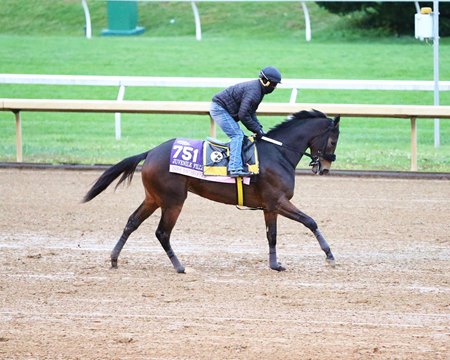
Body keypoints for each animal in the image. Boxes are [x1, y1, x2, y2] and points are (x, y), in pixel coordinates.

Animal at [82, 109, 340, 272]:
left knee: (132, 222)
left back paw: (114, 259)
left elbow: (272, 236)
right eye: (333, 140)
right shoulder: (278, 201)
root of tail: (151, 151)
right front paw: (329, 256)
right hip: (173, 200)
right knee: (162, 233)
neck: (277, 153)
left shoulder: (270, 207)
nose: (325, 168)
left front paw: (275, 265)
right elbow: (310, 221)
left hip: (153, 198)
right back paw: (179, 266)